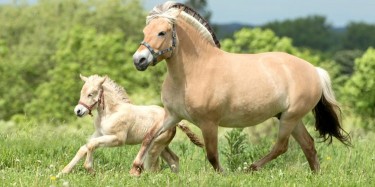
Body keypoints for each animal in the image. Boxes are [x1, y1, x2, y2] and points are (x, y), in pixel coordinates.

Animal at [59, 75, 204, 175]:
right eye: (81, 93)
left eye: (91, 94)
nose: (78, 111)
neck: (111, 113)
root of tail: (175, 120)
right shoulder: (99, 134)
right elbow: (84, 147)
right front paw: (63, 172)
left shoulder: (117, 139)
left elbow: (91, 145)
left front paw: (90, 169)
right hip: (162, 145)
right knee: (173, 160)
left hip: (154, 147)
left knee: (154, 167)